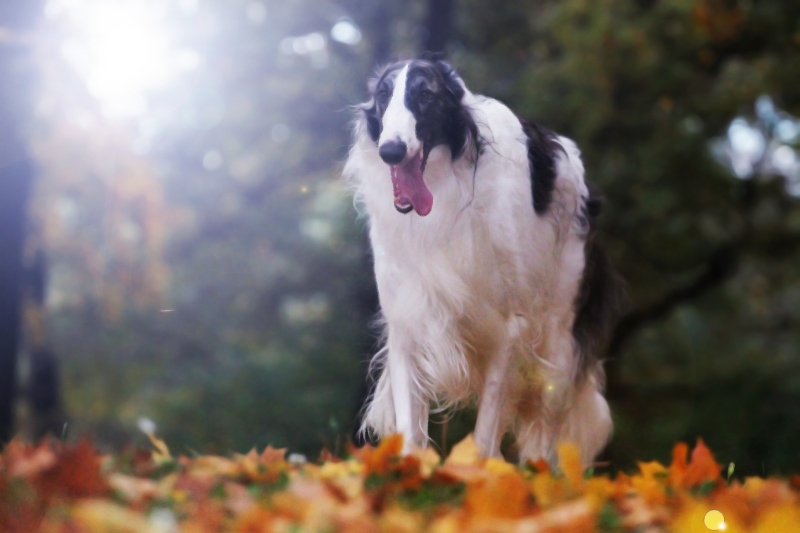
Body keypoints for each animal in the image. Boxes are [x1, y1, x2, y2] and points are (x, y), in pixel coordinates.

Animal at [340, 58, 620, 464]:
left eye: (425, 94)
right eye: (382, 95)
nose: (390, 150)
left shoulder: (509, 329)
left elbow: (486, 432)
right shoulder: (407, 319)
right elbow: (411, 431)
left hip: (559, 333)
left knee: (548, 429)